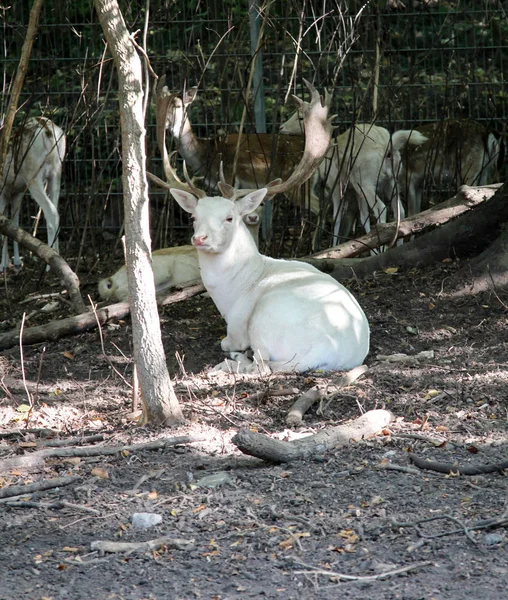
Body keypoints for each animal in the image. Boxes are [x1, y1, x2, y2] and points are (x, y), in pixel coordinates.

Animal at [0, 116, 66, 270]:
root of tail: (48, 131)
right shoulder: (15, 192)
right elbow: (14, 223)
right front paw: (15, 263)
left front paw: (3, 265)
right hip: (56, 172)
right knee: (56, 210)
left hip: (33, 174)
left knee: (51, 212)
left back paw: (50, 264)